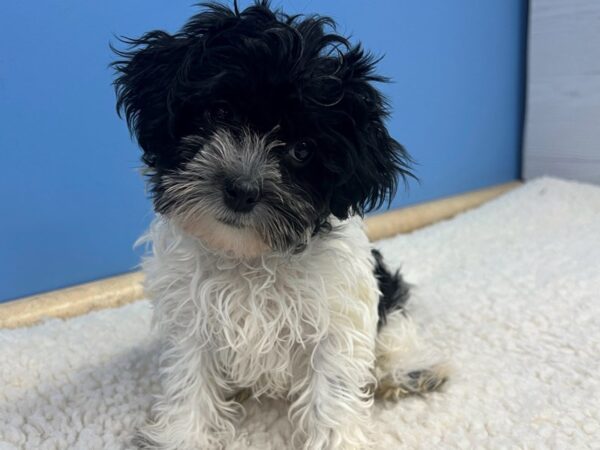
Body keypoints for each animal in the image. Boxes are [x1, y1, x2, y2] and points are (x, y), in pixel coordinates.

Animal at [113, 1, 446, 448]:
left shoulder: (336, 318)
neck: (250, 257)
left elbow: (334, 392)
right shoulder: (190, 321)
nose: (241, 189)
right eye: (219, 112)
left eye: (302, 150)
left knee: (392, 329)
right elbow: (190, 384)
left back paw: (410, 370)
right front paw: (182, 436)